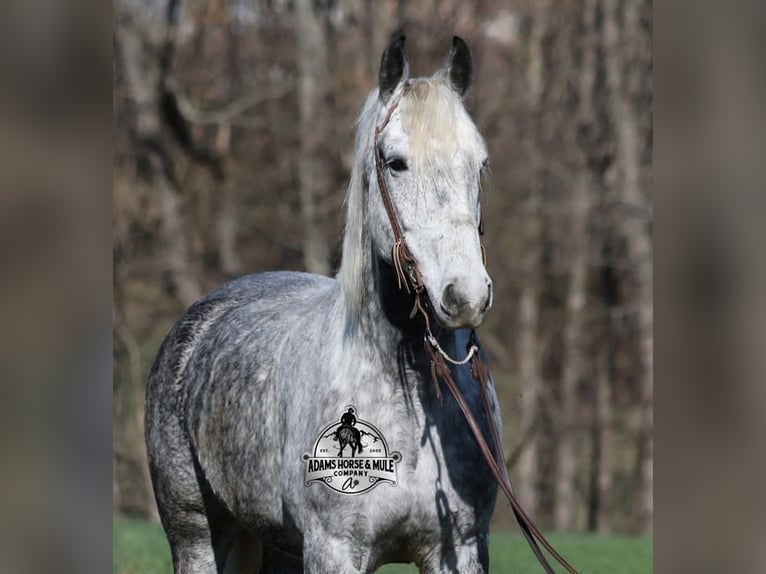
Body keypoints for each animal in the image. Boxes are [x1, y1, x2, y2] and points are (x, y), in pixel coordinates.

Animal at [145, 34, 501, 574]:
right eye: (395, 162)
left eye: (478, 163)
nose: (465, 295)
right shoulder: (334, 549)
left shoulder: (457, 549)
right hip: (196, 538)